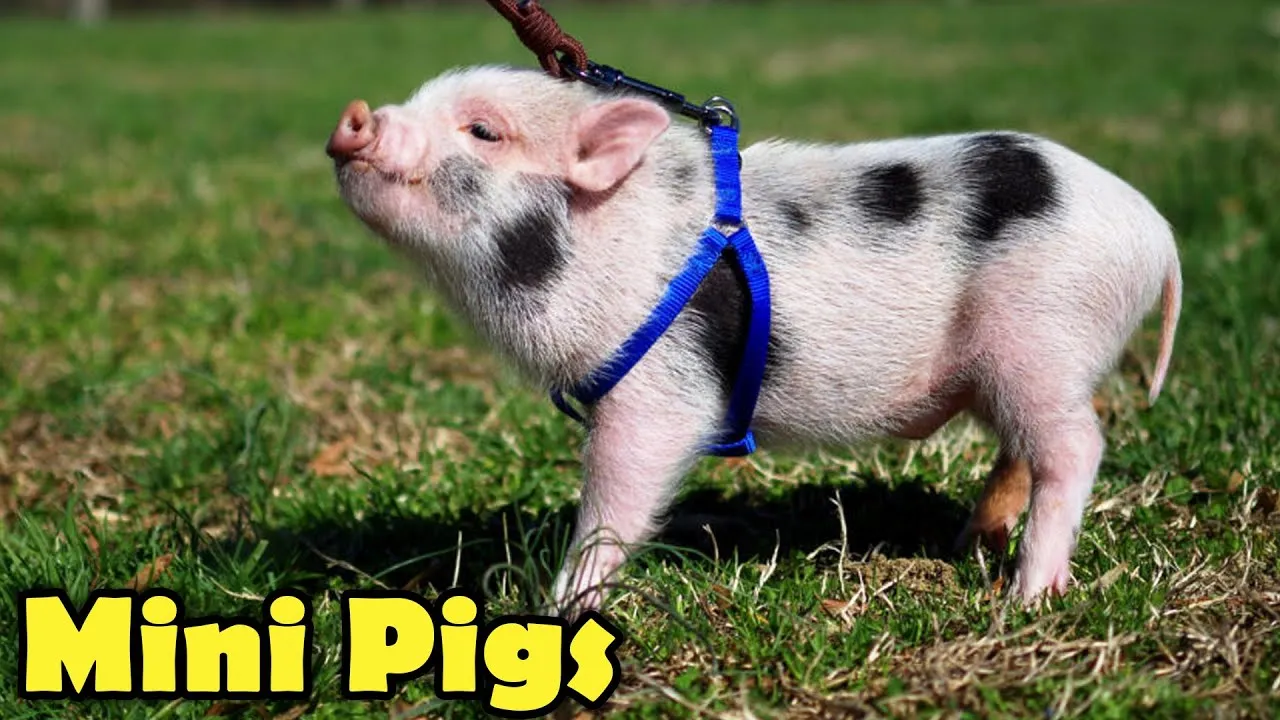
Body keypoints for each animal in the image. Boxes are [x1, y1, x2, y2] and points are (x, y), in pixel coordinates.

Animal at [325, 65, 1182, 615]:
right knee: (1020, 451)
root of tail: (1154, 230)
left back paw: (1027, 596)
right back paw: (971, 540)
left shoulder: (660, 386)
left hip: (1044, 337)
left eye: (483, 131)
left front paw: (560, 609)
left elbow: (619, 490)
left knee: (1074, 446)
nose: (355, 115)